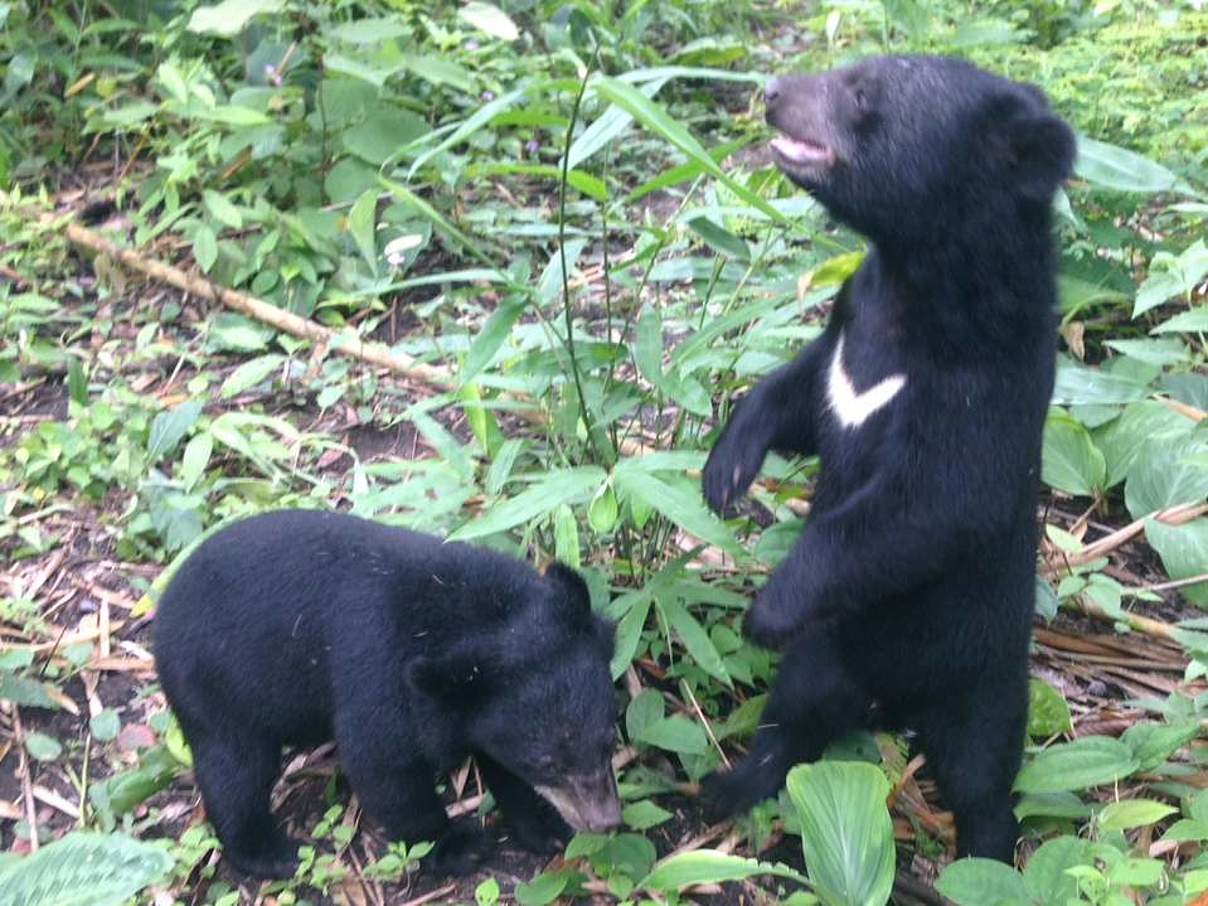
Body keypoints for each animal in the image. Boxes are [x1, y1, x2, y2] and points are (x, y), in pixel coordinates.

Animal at [153, 507, 623, 874]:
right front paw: (457, 846)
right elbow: (385, 765)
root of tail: (163, 609)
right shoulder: (379, 669)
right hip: (215, 688)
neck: (485, 619)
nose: (607, 821)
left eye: (609, 741)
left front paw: (546, 827)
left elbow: (499, 765)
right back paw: (271, 853)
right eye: (547, 763)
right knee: (235, 771)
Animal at [700, 56, 1077, 864]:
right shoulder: (848, 324)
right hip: (827, 655)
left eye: (862, 92)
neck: (914, 284)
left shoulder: (982, 388)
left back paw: (987, 856)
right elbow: (798, 393)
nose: (771, 92)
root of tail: (892, 706)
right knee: (792, 719)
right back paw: (727, 785)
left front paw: (766, 611)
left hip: (984, 678)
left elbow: (926, 507)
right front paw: (726, 472)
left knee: (982, 774)